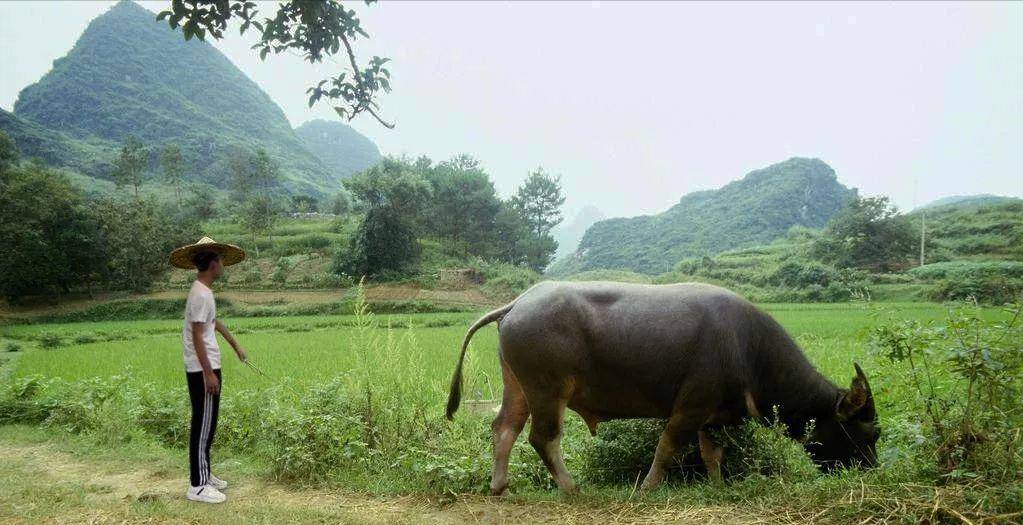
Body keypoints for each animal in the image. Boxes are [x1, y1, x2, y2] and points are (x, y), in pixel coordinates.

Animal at [446, 280, 879, 493]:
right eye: (871, 432)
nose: (872, 469)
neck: (749, 349)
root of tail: (517, 303)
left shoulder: (713, 415)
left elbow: (711, 453)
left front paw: (718, 486)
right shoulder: (690, 406)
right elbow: (669, 446)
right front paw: (649, 486)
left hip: (517, 386)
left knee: (504, 427)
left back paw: (499, 485)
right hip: (549, 391)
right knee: (542, 437)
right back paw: (571, 487)